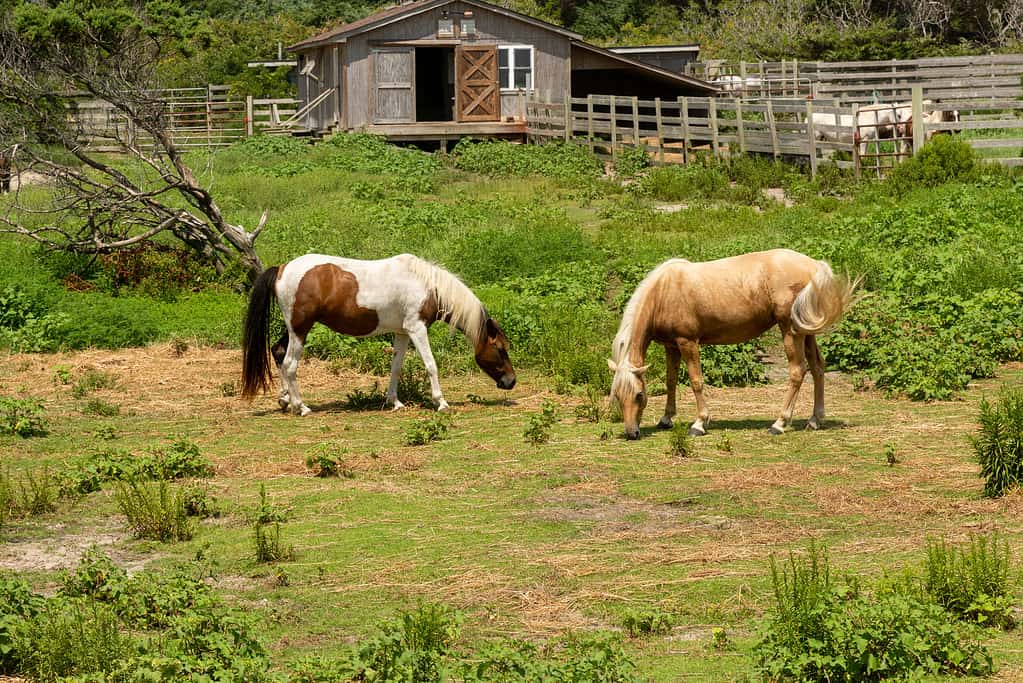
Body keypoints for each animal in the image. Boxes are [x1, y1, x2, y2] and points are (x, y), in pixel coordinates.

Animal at [241, 253, 516, 415]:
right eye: (500, 349)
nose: (511, 382)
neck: (427, 286)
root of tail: (282, 268)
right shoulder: (417, 328)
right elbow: (431, 365)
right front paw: (441, 402)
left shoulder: (403, 332)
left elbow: (396, 367)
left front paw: (394, 402)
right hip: (301, 329)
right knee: (290, 364)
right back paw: (301, 406)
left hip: (294, 329)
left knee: (278, 353)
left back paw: (285, 400)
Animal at [608, 249, 859, 440]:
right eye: (617, 396)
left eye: (639, 395)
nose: (632, 433)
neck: (663, 292)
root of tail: (813, 266)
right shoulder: (671, 346)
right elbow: (671, 381)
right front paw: (666, 418)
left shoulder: (688, 343)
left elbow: (696, 381)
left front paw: (699, 424)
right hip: (805, 331)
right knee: (818, 368)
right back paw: (814, 420)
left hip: (790, 331)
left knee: (798, 372)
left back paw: (779, 423)